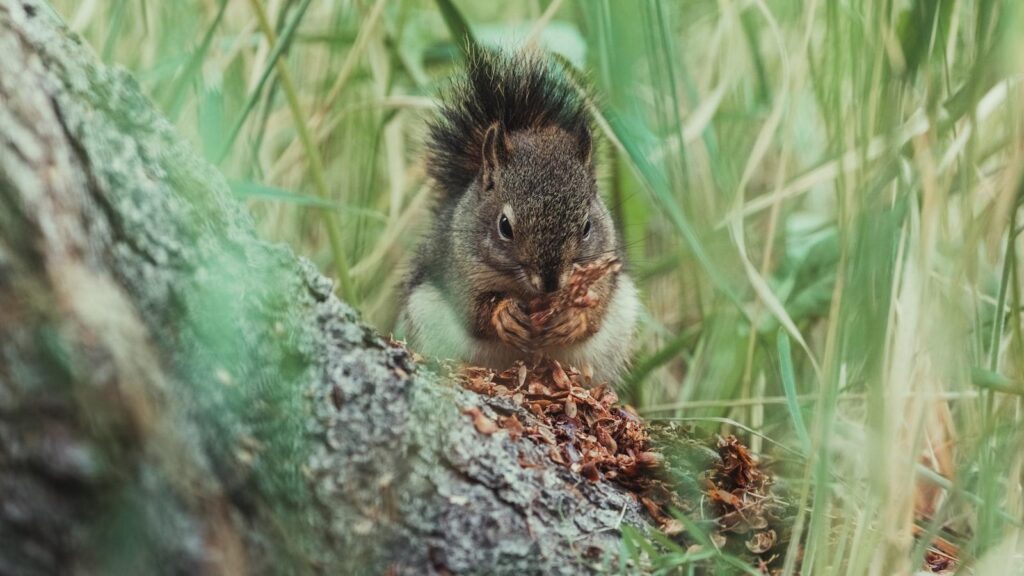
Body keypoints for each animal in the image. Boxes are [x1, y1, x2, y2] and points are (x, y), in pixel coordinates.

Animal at [401, 48, 634, 381]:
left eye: (587, 226)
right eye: (505, 226)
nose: (551, 283)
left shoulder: (604, 269)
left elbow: (596, 310)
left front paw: (573, 318)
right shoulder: (456, 270)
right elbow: (473, 309)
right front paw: (504, 314)